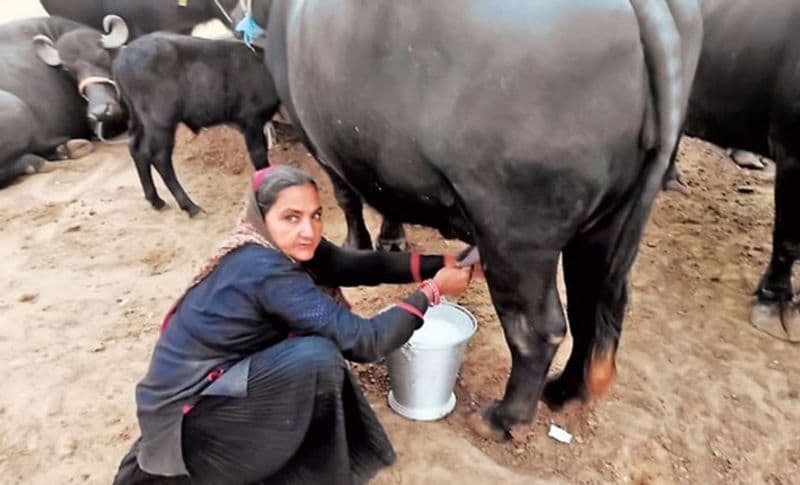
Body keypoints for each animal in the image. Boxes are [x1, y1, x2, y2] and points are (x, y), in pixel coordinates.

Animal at [114, 33, 280, 215]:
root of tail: (122, 58)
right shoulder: (251, 120)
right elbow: (258, 154)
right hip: (161, 122)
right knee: (159, 156)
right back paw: (190, 206)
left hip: (138, 119)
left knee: (136, 148)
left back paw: (156, 200)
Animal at [241, 0, 704, 436]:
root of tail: (644, 10)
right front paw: (390, 240)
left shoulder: (322, 143)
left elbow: (347, 197)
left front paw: (359, 243)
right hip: (610, 223)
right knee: (595, 306)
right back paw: (564, 390)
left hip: (514, 232)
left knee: (539, 329)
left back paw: (503, 418)